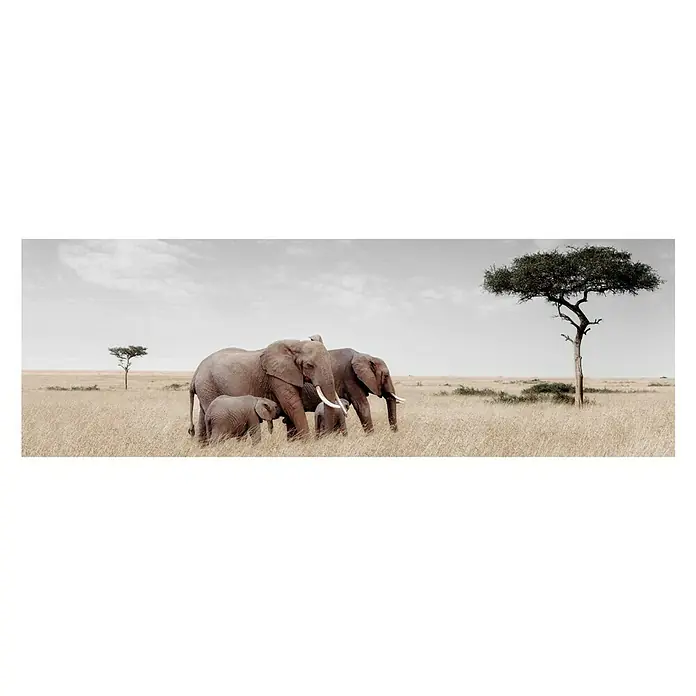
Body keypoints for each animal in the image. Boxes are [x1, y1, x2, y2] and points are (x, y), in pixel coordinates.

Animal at [188, 335, 346, 443]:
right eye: (309, 365)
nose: (326, 438)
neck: (296, 344)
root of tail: (196, 372)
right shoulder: (276, 376)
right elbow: (292, 405)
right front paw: (307, 444)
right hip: (208, 385)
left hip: (206, 388)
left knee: (203, 417)